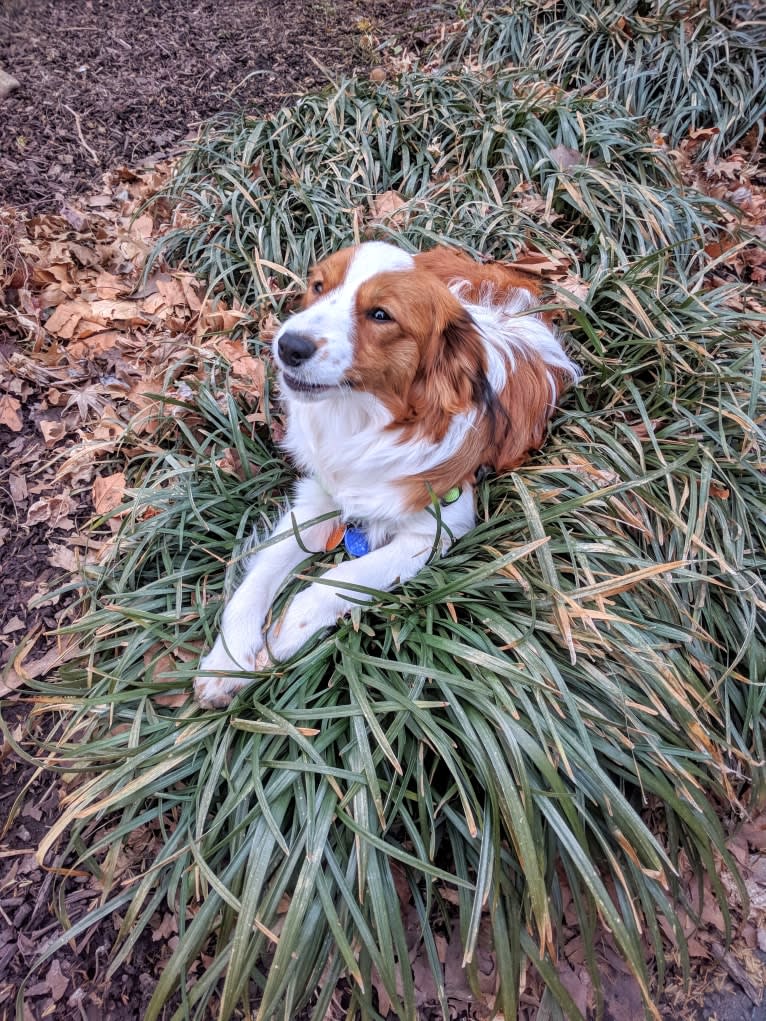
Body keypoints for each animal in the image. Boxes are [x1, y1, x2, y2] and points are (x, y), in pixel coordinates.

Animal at [195, 241, 580, 710]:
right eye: (318, 286)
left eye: (381, 314)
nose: (289, 345)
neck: (363, 419)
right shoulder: (317, 498)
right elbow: (259, 576)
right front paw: (229, 657)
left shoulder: (437, 529)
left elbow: (341, 577)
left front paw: (284, 634)